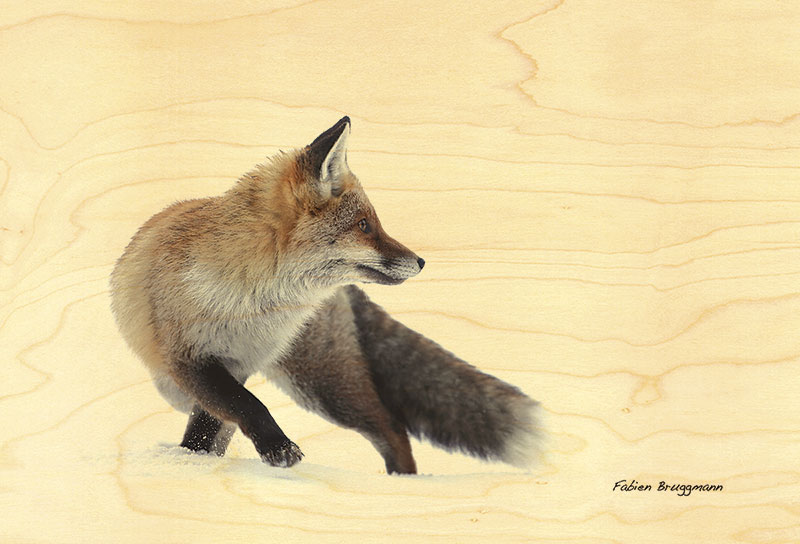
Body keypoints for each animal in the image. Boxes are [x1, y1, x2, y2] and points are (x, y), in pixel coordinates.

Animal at [110, 116, 541, 474]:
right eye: (364, 225)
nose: (420, 262)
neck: (252, 304)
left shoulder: (236, 363)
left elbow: (226, 413)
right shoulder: (190, 359)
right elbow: (241, 407)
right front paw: (229, 456)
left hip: (323, 383)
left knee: (391, 426)